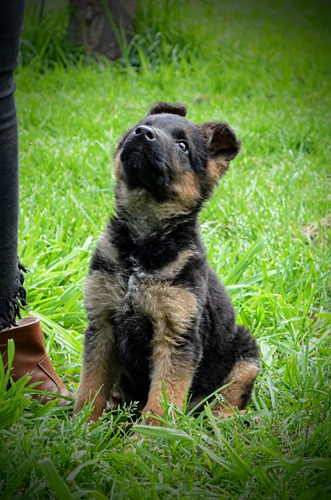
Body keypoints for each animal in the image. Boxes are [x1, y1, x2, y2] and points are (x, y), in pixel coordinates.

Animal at [74, 103, 260, 424]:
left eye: (183, 145)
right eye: (142, 124)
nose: (142, 133)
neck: (142, 245)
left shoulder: (175, 337)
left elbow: (161, 402)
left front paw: (147, 436)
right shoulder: (102, 324)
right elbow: (91, 386)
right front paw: (80, 427)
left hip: (246, 355)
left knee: (228, 397)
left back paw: (221, 423)